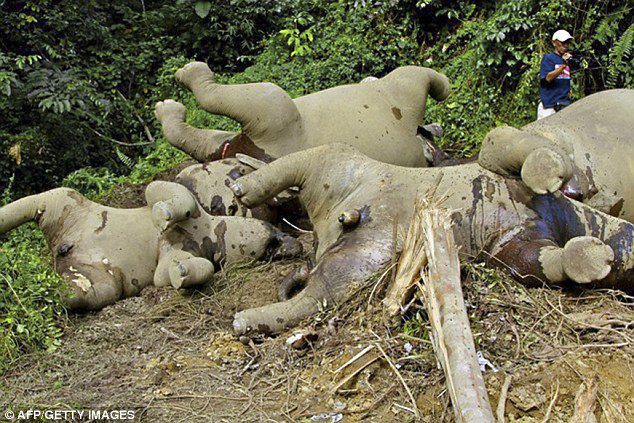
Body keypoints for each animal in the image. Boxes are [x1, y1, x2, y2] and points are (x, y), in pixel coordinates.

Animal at [0, 181, 302, 310]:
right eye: (274, 241)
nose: (292, 244)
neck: (213, 234)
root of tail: (60, 252)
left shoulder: (178, 255)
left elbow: (176, 272)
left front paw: (183, 273)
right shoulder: (192, 206)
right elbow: (162, 191)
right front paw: (162, 215)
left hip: (100, 282)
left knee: (76, 294)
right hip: (62, 201)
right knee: (35, 201)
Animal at [153, 61, 450, 167]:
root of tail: (247, 151)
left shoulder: (404, 92)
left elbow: (420, 74)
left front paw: (444, 89)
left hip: (274, 120)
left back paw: (184, 81)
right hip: (261, 129)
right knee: (209, 141)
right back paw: (171, 104)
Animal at [227, 144, 632, 336]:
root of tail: (329, 228)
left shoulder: (512, 247)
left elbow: (536, 261)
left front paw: (588, 258)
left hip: (366, 255)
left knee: (323, 290)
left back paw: (248, 319)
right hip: (341, 164)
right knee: (308, 160)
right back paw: (241, 185)